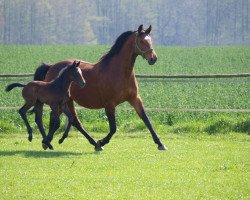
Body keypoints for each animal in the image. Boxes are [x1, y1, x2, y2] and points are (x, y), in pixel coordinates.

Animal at [32, 24, 166, 150]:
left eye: (150, 40)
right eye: (141, 41)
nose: (153, 58)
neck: (120, 73)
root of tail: (51, 66)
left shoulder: (134, 99)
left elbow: (146, 120)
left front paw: (160, 144)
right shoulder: (109, 104)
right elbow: (113, 128)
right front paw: (102, 141)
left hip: (65, 102)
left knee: (65, 119)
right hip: (64, 101)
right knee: (69, 120)